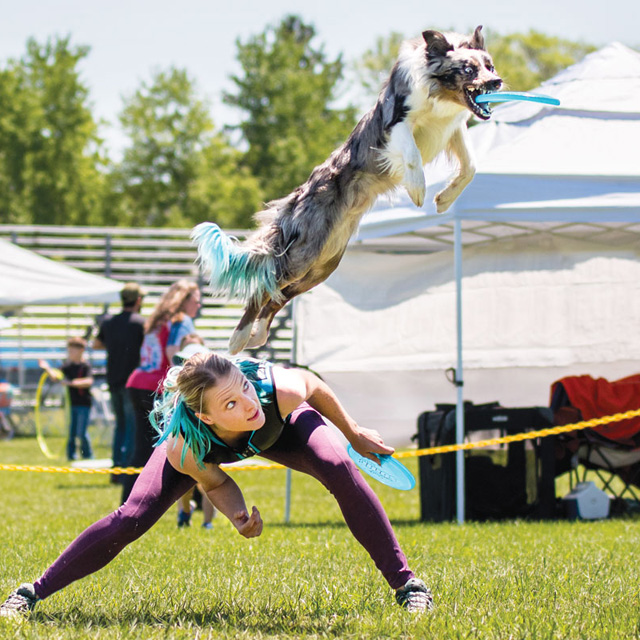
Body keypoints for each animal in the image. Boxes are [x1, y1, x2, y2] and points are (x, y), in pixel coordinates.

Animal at [192, 25, 502, 352]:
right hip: (302, 256)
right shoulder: (397, 123)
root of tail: (295, 201)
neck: (440, 95)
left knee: (278, 297)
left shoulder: (452, 129)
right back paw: (238, 339)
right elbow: (413, 157)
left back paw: (258, 335)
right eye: (468, 69)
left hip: (322, 265)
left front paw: (444, 199)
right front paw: (418, 190)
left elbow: (471, 166)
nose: (497, 82)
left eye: (490, 66)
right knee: (265, 287)